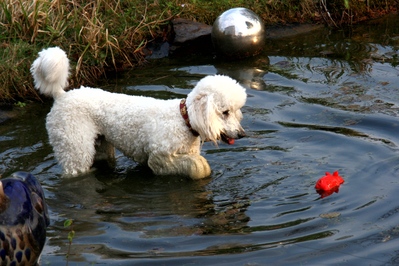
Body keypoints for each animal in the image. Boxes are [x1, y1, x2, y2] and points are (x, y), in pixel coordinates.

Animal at [30, 47, 247, 180]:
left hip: (101, 145)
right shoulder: (159, 158)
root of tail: (61, 95)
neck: (183, 120)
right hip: (74, 145)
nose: (242, 134)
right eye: (225, 112)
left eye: (237, 111)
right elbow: (191, 167)